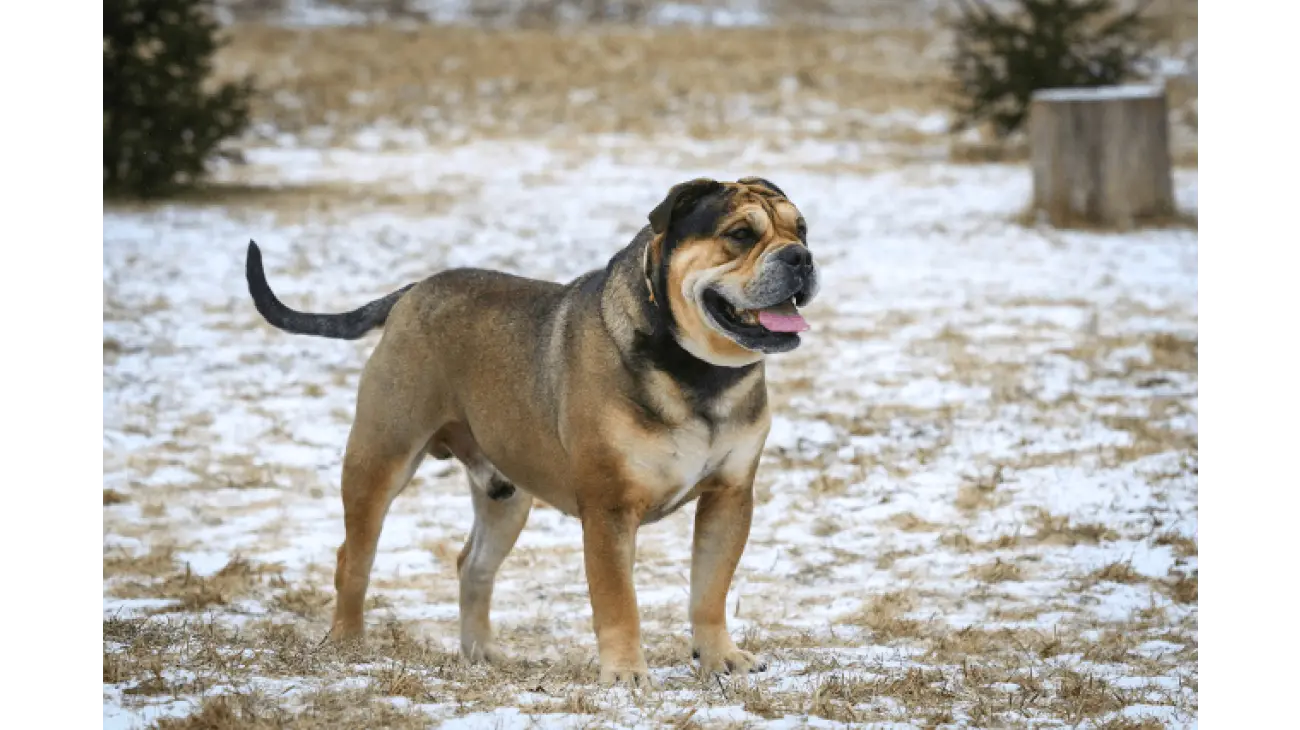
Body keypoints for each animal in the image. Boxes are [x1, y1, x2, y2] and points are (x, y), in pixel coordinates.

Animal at [244, 175, 821, 680]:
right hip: (380, 457)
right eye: (739, 235)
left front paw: (721, 658)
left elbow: (710, 589)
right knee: (354, 558)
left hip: (506, 495)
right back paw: (347, 642)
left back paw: (480, 653)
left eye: (802, 229)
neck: (698, 371)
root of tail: (413, 291)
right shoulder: (609, 509)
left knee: (473, 565)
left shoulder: (729, 498)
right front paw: (625, 675)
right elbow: (618, 601)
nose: (801, 257)